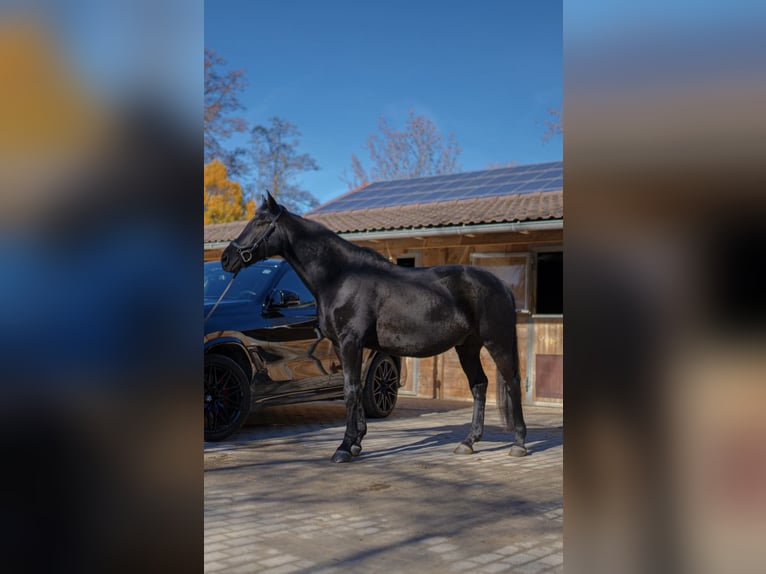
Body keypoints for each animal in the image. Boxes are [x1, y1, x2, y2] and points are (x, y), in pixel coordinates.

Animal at [221, 192, 527, 463]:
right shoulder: (344, 345)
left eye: (261, 223)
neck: (342, 277)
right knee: (479, 385)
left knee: (512, 382)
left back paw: (519, 444)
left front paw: (344, 447)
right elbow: (353, 387)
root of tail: (501, 285)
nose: (226, 258)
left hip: (496, 342)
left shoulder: (350, 342)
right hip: (468, 346)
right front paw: (356, 443)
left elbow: (350, 390)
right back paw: (468, 442)